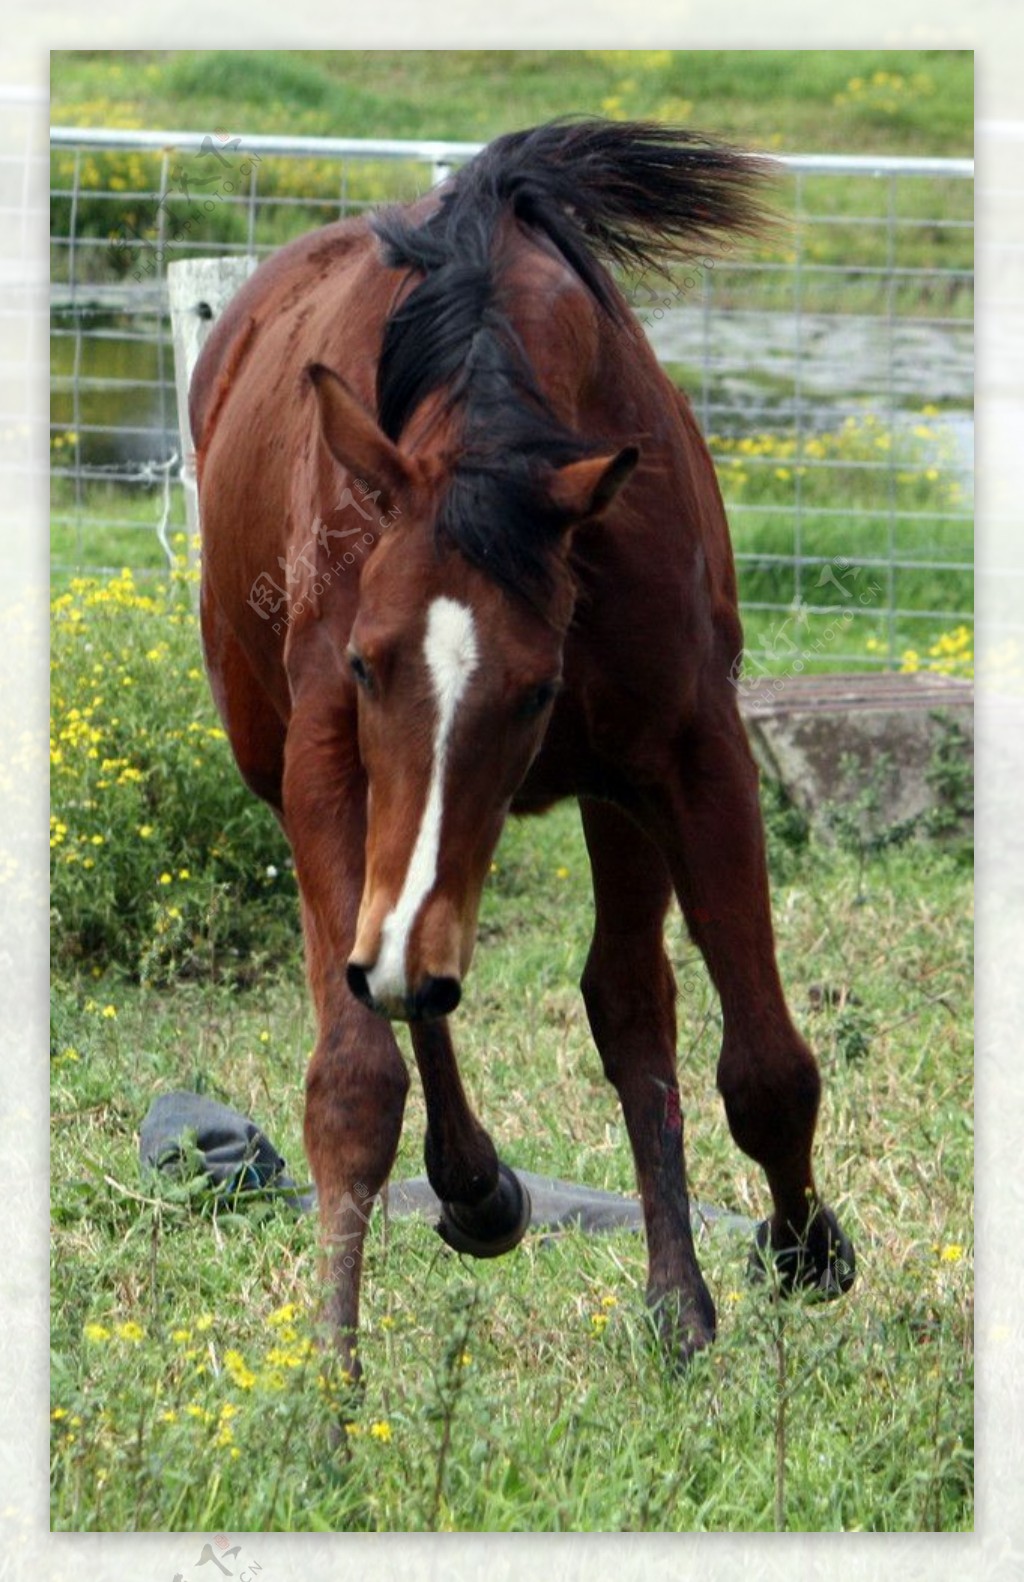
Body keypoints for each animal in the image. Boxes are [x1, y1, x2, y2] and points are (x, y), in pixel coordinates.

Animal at [192, 120, 854, 1385]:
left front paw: (802, 1249)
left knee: (618, 998)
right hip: (300, 779)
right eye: (367, 666)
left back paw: (673, 1296)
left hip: (608, 792)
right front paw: (333, 1379)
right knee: (415, 985)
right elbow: (356, 1073)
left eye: (535, 687)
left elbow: (758, 1058)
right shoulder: (328, 764)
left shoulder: (689, 752)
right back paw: (476, 1188)